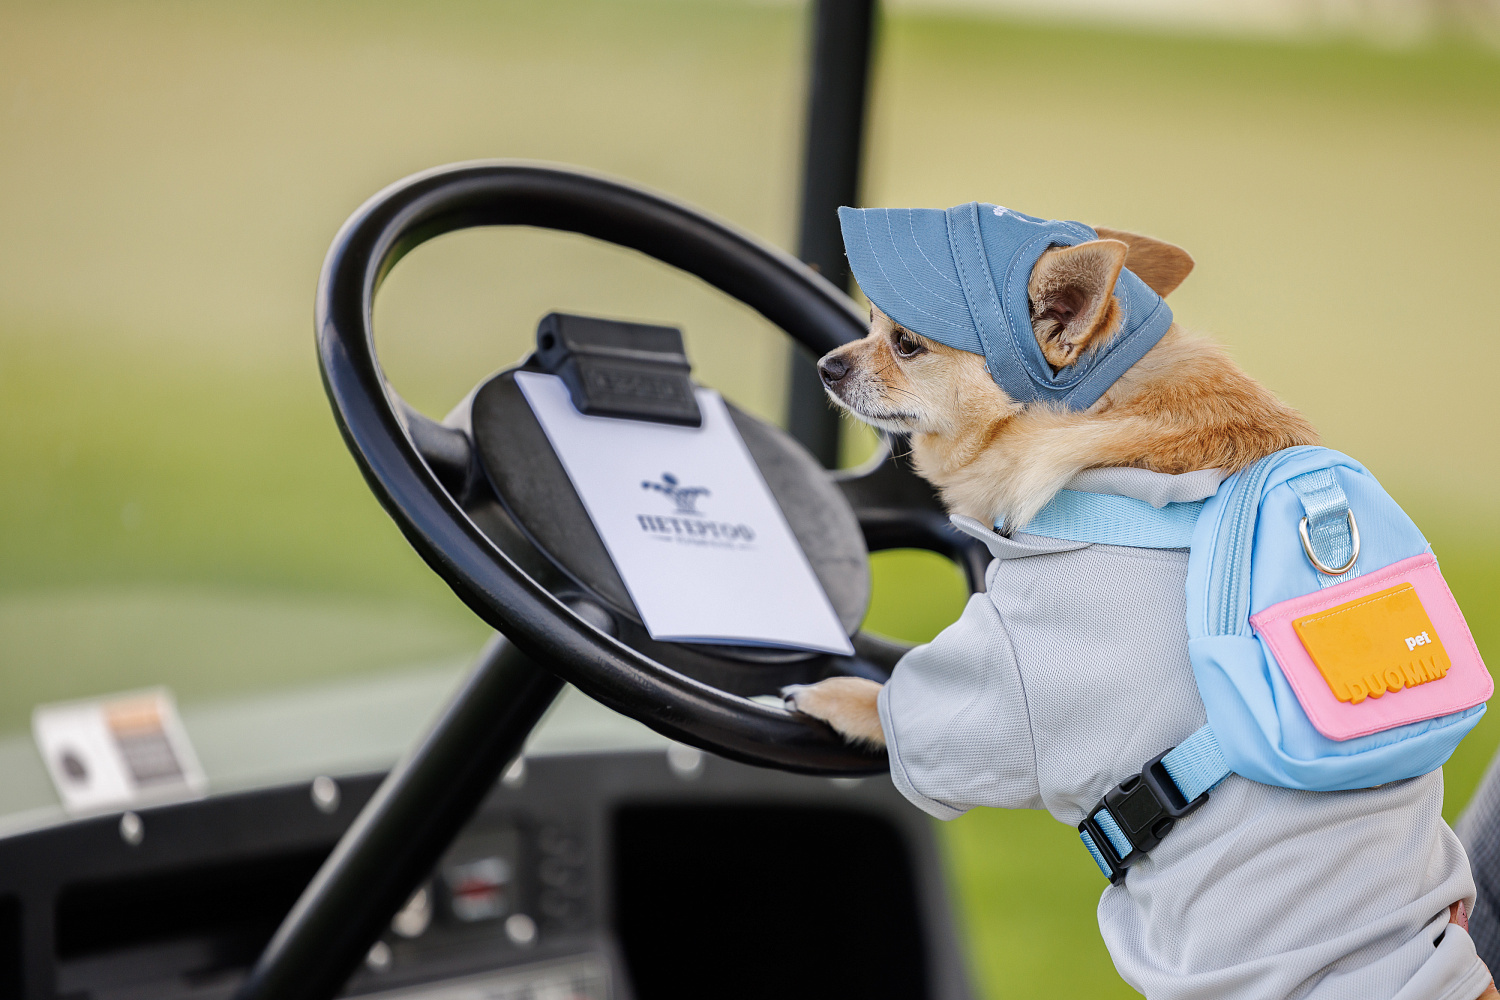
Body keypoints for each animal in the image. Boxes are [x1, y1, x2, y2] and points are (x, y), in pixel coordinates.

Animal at [780, 205, 1494, 1000]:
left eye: (904, 342)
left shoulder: (1007, 668)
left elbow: (902, 702)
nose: (827, 363)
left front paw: (834, 694)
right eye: (868, 324)